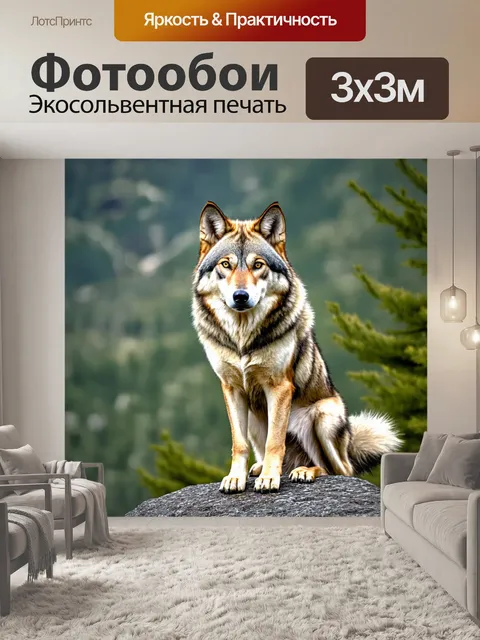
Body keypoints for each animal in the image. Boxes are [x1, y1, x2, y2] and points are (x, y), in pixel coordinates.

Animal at [192, 201, 401, 494]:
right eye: (226, 264)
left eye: (258, 265)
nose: (240, 296)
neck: (243, 338)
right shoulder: (231, 388)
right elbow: (238, 444)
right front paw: (235, 478)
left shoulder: (279, 387)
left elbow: (275, 441)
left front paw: (270, 478)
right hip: (256, 419)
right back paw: (260, 469)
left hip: (322, 417)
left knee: (337, 469)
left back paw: (302, 471)